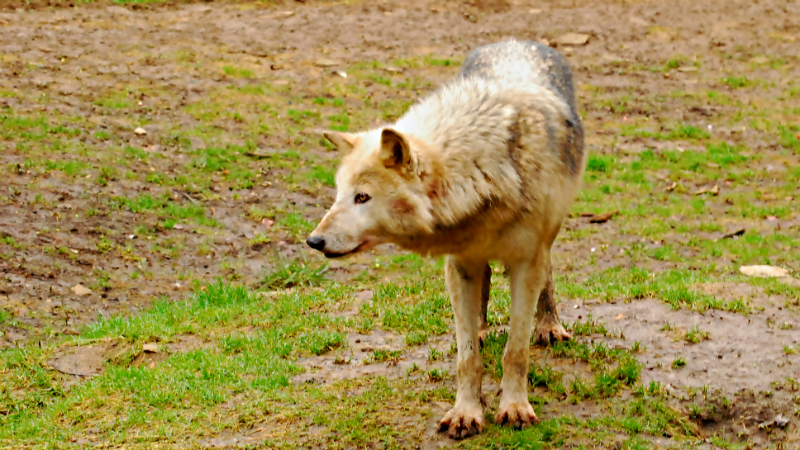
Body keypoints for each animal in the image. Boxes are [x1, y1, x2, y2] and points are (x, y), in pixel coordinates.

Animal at [306, 38, 586, 439]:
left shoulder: (525, 263)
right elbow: (467, 358)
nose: (314, 241)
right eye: (340, 194)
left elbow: (515, 351)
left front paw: (515, 408)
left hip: (548, 237)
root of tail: (515, 41)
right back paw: (483, 328)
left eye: (362, 197)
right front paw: (466, 413)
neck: (486, 174)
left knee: (547, 274)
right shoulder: (459, 264)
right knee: (483, 294)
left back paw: (549, 326)